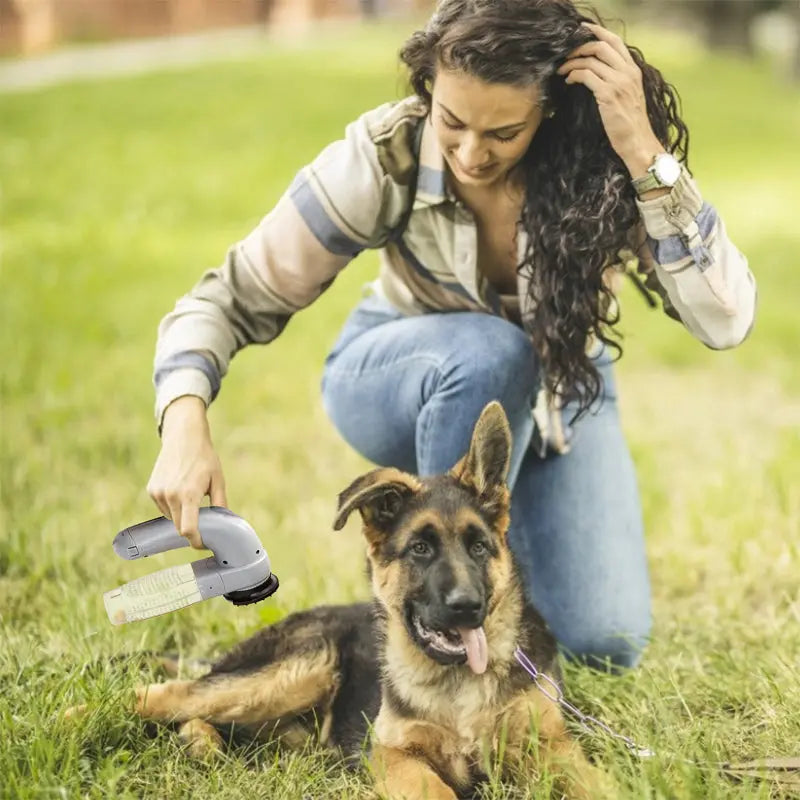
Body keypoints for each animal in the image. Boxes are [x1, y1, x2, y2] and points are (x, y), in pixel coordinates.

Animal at [86, 406, 608, 800]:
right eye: (420, 549)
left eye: (479, 548)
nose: (467, 607)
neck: (458, 683)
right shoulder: (393, 753)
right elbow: (435, 788)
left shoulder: (554, 747)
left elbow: (597, 784)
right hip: (296, 671)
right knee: (161, 696)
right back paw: (81, 721)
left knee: (200, 718)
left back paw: (204, 746)